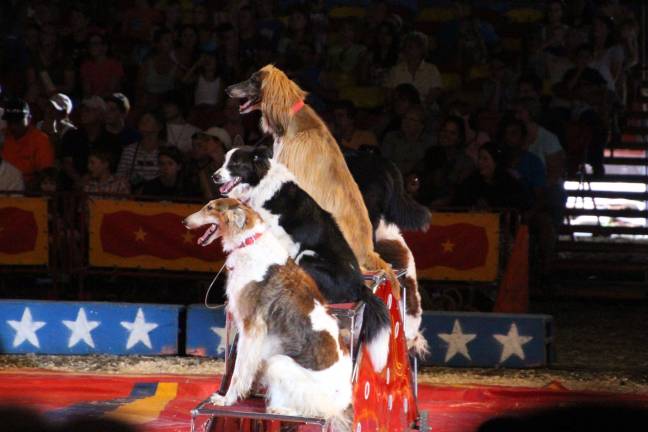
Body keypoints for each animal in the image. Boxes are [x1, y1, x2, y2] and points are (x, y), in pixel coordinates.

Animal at [182, 199, 352, 428]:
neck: (248, 242)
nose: (184, 221)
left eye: (210, 208)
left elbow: (239, 371)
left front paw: (227, 399)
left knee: (314, 414)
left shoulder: (251, 327)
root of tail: (342, 401)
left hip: (278, 364)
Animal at [215, 147, 390, 372]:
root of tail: (360, 285)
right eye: (224, 161)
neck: (261, 184)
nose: (215, 176)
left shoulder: (281, 240)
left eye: (236, 163)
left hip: (307, 255)